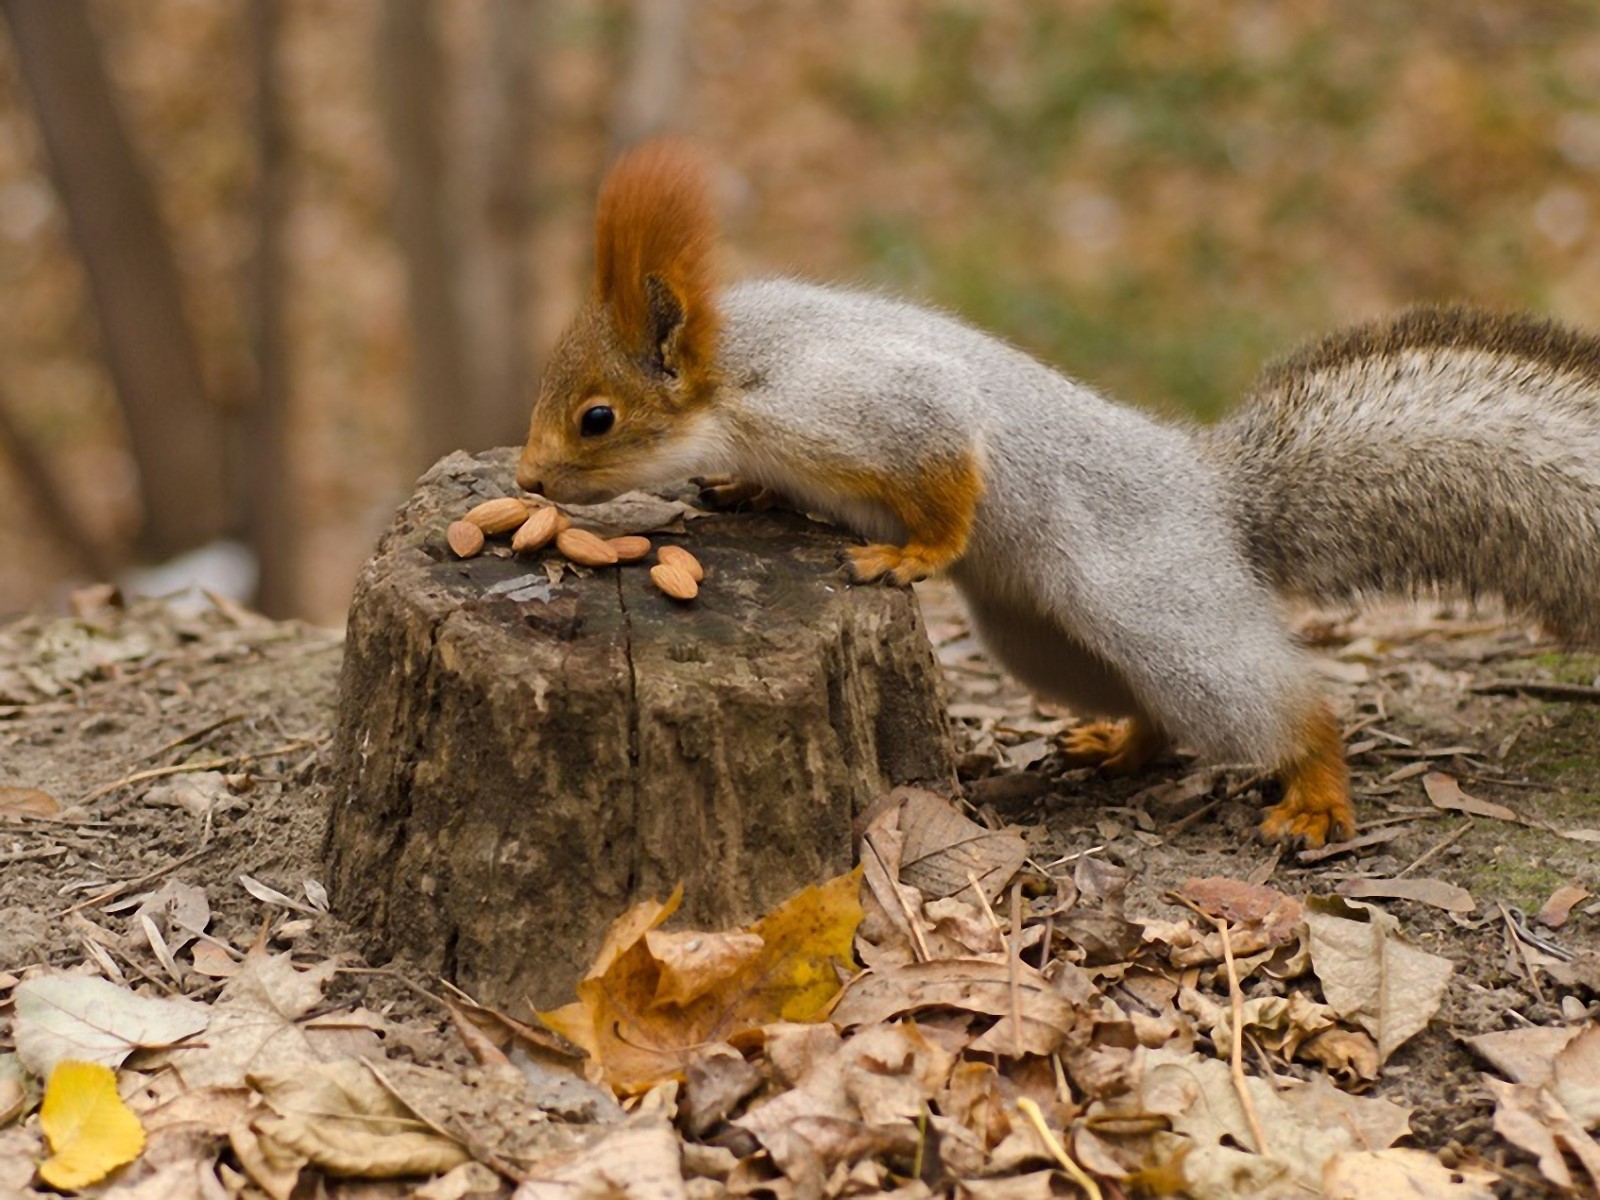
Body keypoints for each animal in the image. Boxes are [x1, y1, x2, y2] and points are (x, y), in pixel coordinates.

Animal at [517, 140, 1600, 849]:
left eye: (597, 418)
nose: (526, 480)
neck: (736, 372)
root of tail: (1218, 497)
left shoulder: (868, 404)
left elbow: (949, 469)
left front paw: (911, 553)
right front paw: (738, 489)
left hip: (1160, 613)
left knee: (1279, 706)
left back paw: (1316, 793)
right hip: (1039, 640)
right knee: (1153, 714)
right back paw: (1116, 747)